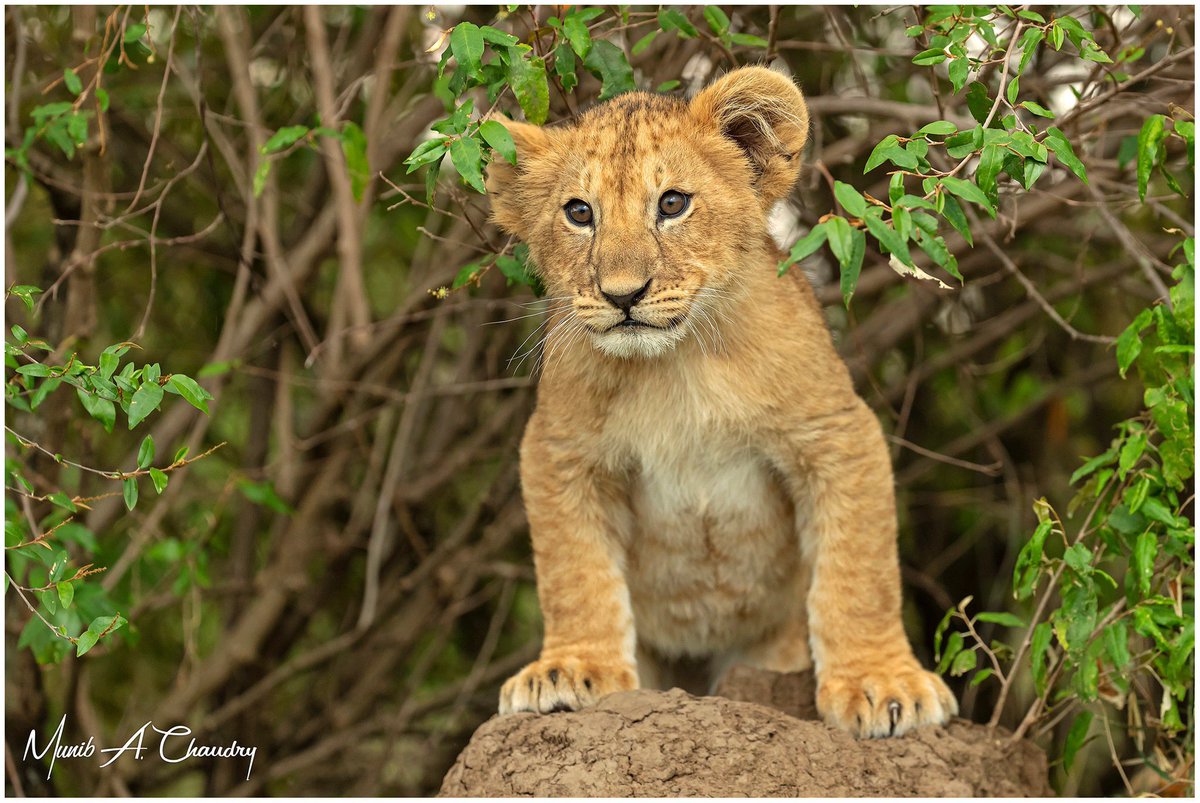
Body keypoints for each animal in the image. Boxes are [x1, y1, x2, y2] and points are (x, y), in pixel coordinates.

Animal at [484, 65, 957, 738]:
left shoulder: (836, 432)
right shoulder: (561, 450)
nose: (622, 294)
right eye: (578, 212)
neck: (675, 365)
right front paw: (570, 670)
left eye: (672, 204)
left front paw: (883, 684)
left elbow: (859, 571)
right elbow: (573, 571)